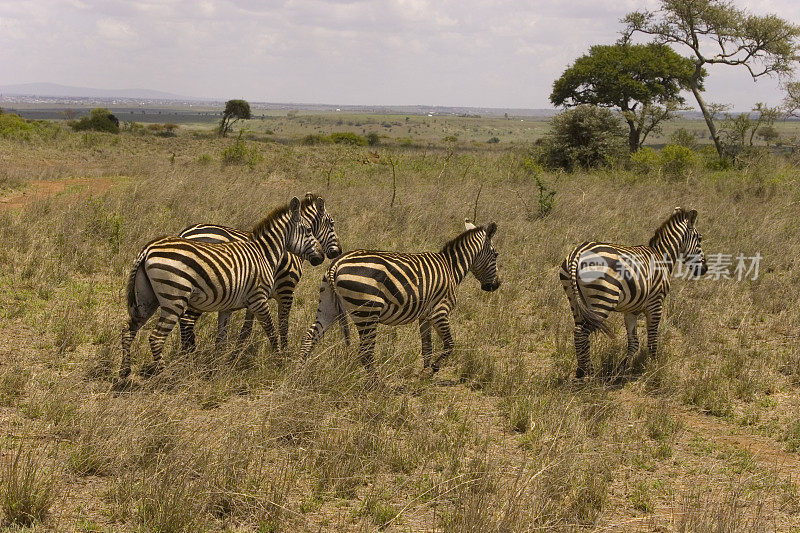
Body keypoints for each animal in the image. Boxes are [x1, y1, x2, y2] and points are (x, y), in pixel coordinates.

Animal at [118, 196, 322, 378]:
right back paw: (165, 376)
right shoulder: (259, 299)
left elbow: (221, 339)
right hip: (174, 298)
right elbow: (271, 330)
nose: (321, 257)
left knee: (128, 330)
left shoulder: (228, 307)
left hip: (146, 298)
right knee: (156, 337)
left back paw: (125, 372)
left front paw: (217, 368)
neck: (263, 254)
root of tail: (147, 249)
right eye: (308, 230)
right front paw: (280, 361)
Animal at [175, 194, 340, 354]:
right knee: (186, 321)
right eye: (332, 224)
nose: (338, 252)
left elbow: (247, 328)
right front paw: (285, 352)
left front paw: (236, 353)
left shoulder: (255, 295)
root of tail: (185, 233)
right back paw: (189, 353)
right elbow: (283, 325)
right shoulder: (286, 290)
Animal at [300, 219, 500, 374]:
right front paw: (434, 368)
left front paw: (425, 373)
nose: (496, 285)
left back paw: (299, 371)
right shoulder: (440, 312)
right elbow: (450, 344)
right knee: (365, 353)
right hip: (367, 311)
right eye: (496, 254)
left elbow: (427, 346)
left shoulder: (425, 315)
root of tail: (335, 264)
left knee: (310, 336)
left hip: (329, 306)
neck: (451, 268)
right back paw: (378, 386)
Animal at [560, 206, 708, 376]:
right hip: (602, 299)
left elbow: (634, 343)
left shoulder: (631, 310)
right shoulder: (656, 304)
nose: (705, 269)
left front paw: (621, 369)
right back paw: (586, 373)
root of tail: (577, 252)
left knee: (578, 331)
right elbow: (652, 339)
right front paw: (654, 368)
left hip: (574, 299)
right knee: (581, 333)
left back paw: (582, 370)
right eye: (700, 239)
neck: (662, 257)